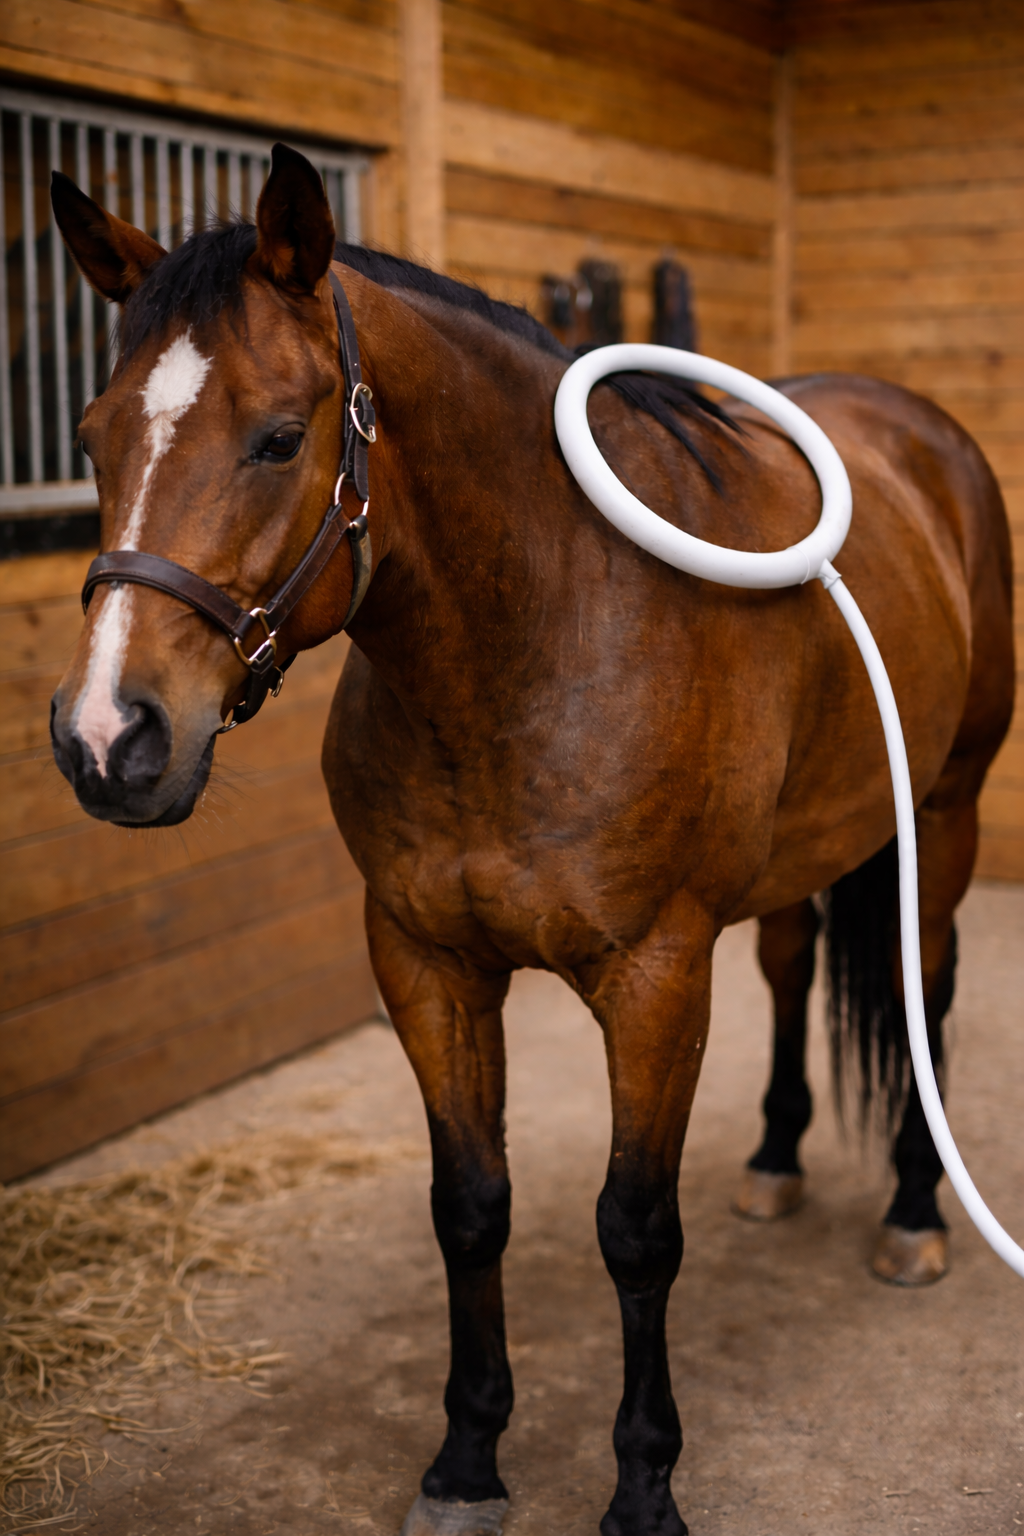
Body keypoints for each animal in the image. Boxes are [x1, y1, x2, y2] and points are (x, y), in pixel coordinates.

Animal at [49, 144, 1013, 1536]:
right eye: (92, 437)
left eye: (279, 438)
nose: (107, 737)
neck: (536, 641)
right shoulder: (425, 964)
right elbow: (471, 1208)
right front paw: (465, 1460)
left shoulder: (656, 979)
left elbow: (635, 1230)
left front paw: (644, 1487)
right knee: (789, 967)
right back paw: (776, 1156)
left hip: (942, 812)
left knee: (921, 981)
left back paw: (910, 1212)